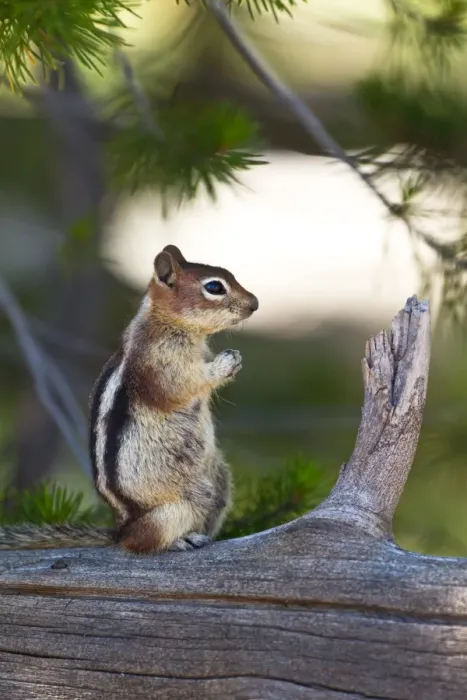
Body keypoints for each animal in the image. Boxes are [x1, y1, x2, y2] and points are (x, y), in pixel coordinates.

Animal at [0, 245, 258, 553]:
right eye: (214, 287)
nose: (255, 304)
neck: (165, 322)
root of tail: (121, 529)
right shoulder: (157, 362)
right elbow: (180, 386)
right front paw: (224, 363)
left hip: (219, 483)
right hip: (171, 511)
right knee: (141, 542)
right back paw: (179, 540)